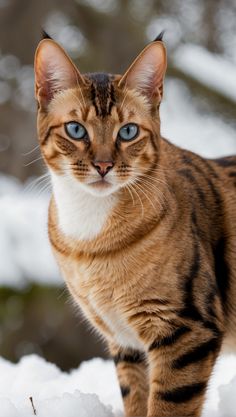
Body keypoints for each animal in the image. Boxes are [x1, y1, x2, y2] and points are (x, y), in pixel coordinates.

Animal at [33, 33, 236, 416]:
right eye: (75, 129)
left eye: (127, 131)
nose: (103, 165)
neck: (90, 244)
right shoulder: (124, 340)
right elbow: (136, 399)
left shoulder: (186, 329)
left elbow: (167, 406)